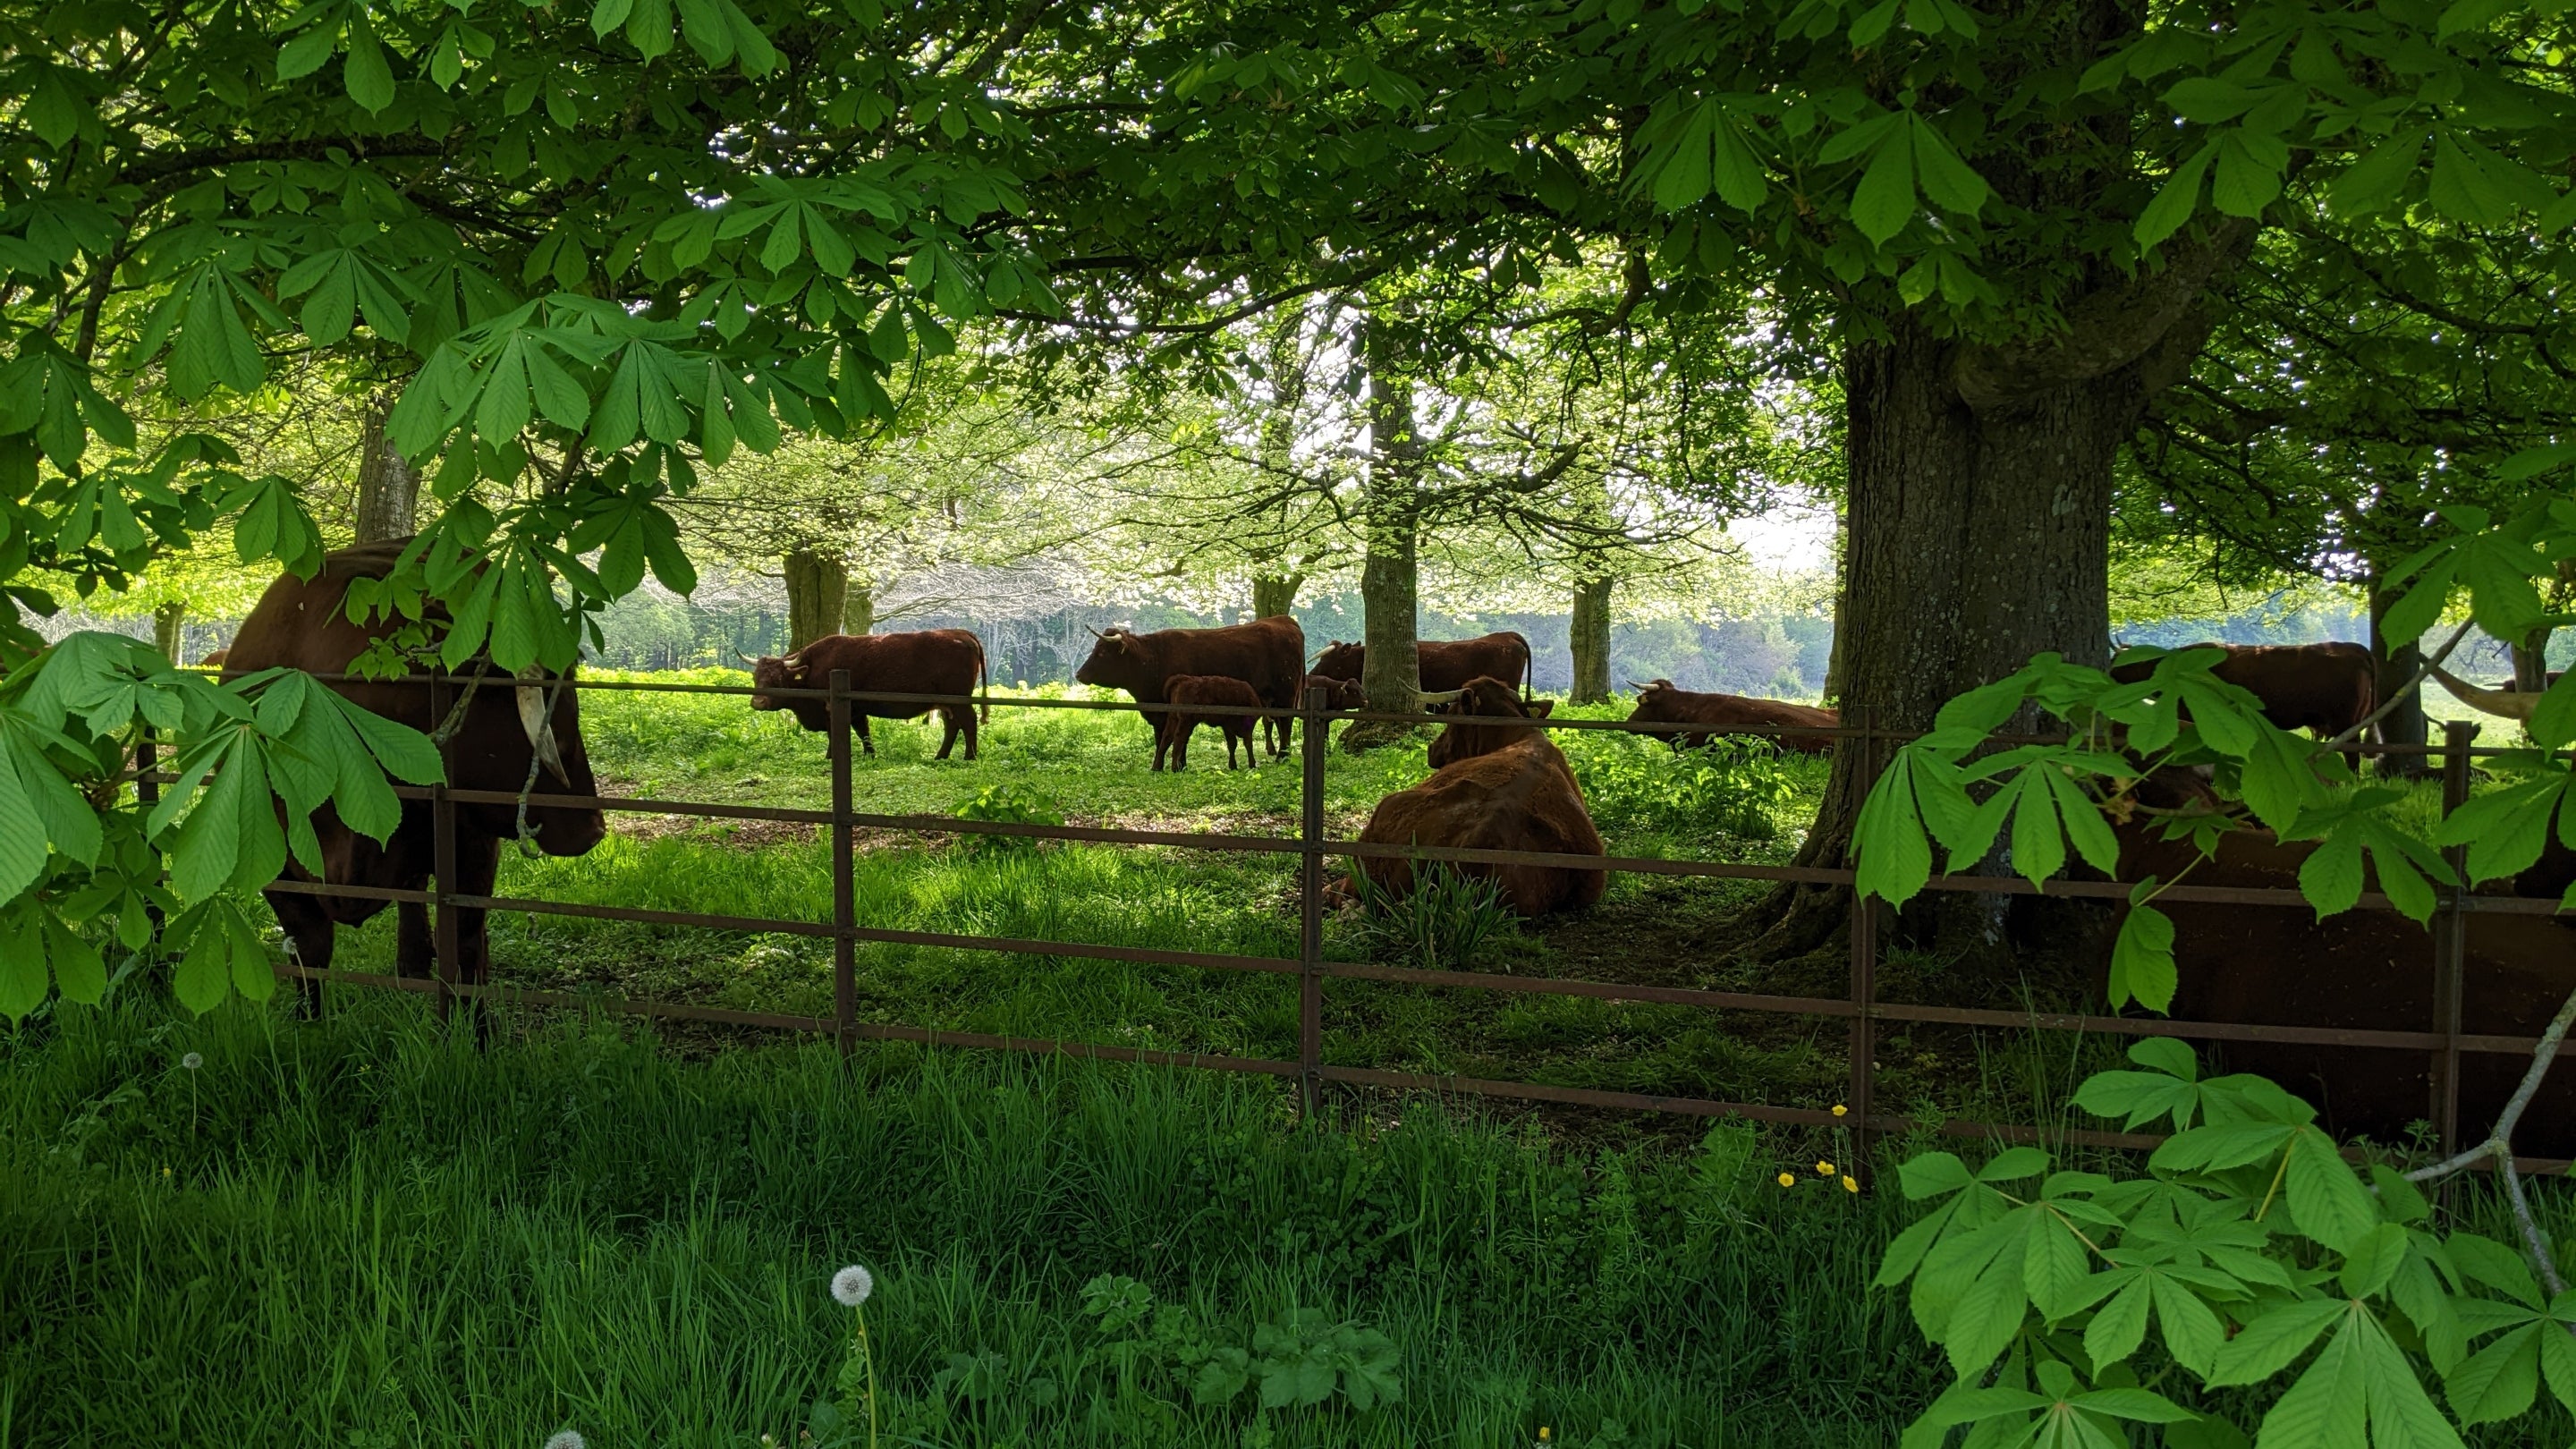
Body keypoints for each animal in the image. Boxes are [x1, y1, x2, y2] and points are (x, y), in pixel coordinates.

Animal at [225, 539, 607, 1017]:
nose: (594, 829)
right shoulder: (271, 864)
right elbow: (309, 949)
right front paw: (309, 1020)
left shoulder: (470, 846)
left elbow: (465, 945)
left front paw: (472, 1029)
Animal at [746, 629, 988, 760]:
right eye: (756, 677)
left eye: (777, 678)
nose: (758, 701)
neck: (812, 666)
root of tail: (960, 633)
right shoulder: (857, 710)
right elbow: (864, 732)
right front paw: (870, 755)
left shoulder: (833, 709)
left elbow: (836, 734)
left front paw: (830, 756)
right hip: (946, 705)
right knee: (952, 726)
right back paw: (940, 756)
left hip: (958, 702)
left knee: (969, 722)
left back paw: (970, 757)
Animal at [1073, 616, 1306, 757]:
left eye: (1102, 652)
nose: (1079, 674)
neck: (1153, 659)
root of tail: (1283, 620)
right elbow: (1161, 739)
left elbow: (1178, 739)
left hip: (1286, 695)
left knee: (1286, 723)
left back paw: (1282, 757)